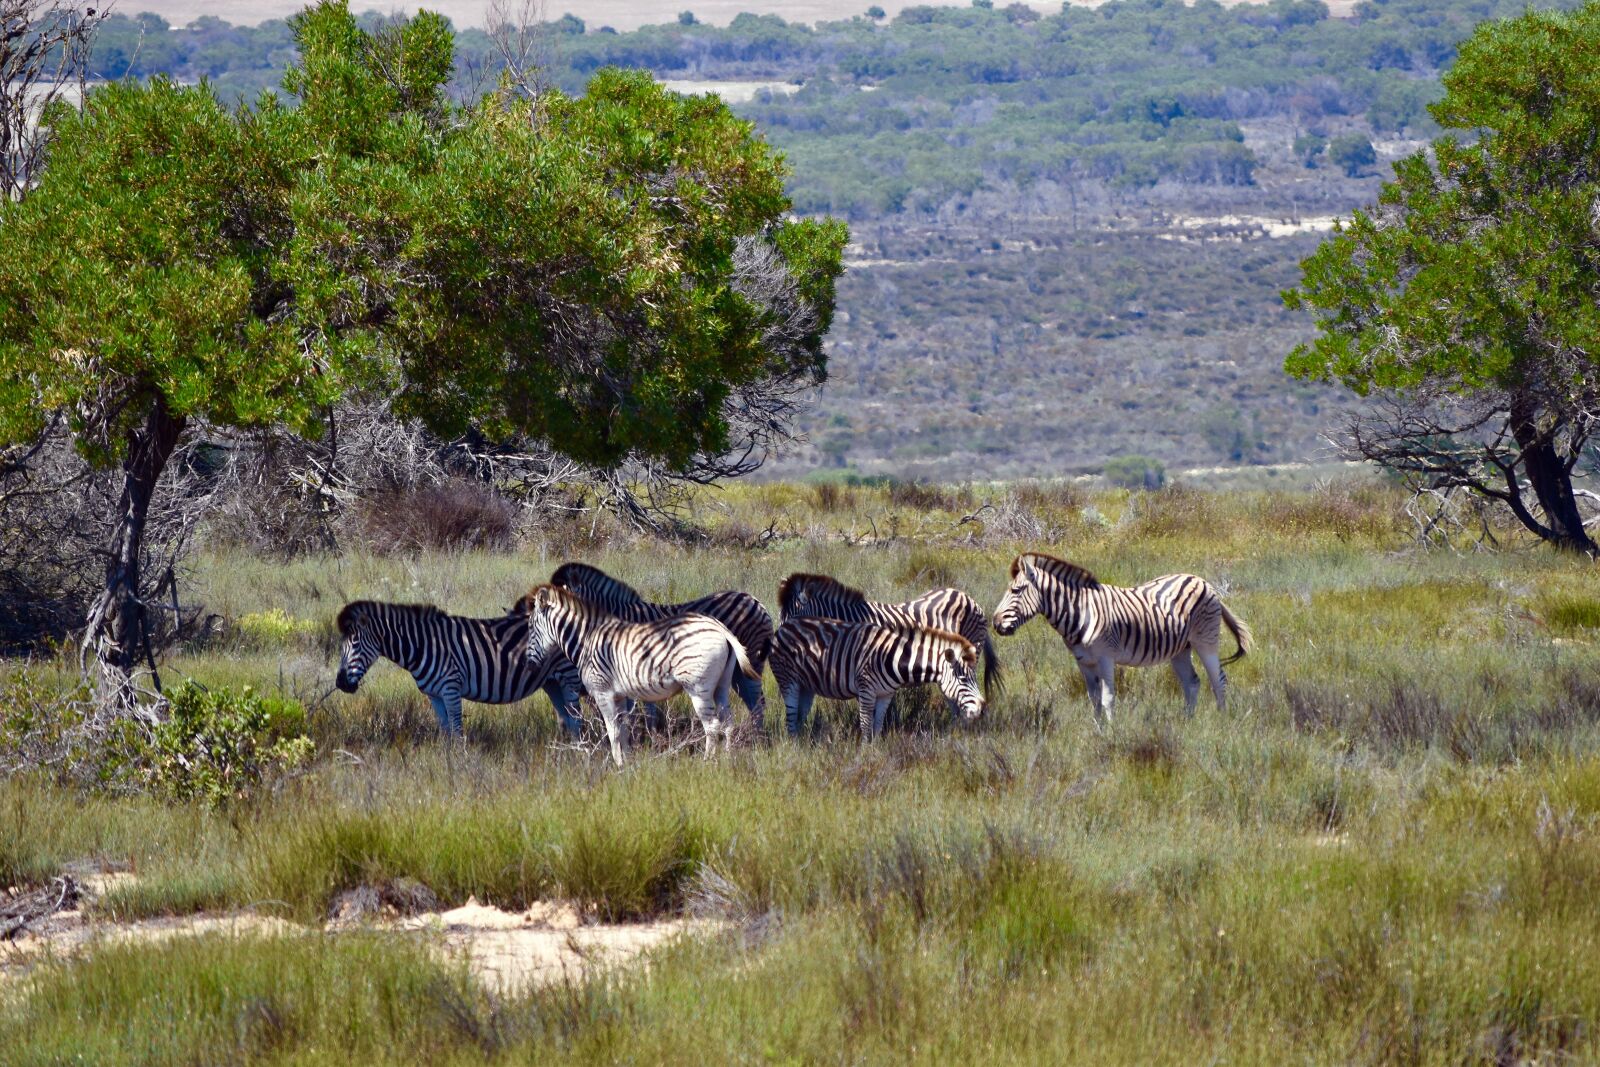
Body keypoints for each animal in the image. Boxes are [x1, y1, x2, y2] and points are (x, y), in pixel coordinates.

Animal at [334, 600, 584, 737]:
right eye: (340, 645)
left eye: (355, 644)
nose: (340, 683)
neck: (423, 644)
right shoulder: (434, 695)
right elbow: (445, 732)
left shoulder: (450, 688)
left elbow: (456, 731)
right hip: (551, 682)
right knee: (566, 719)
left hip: (568, 677)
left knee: (577, 719)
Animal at [519, 584, 758, 766]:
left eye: (530, 627)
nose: (529, 666)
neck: (586, 640)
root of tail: (719, 627)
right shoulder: (619, 695)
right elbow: (623, 730)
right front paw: (627, 762)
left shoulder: (602, 692)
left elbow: (613, 731)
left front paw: (617, 766)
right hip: (722, 684)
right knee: (728, 721)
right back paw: (727, 758)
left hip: (699, 688)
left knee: (712, 725)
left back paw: (707, 762)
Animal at [550, 562, 773, 733]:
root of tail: (754, 600)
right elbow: (646, 708)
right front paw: (651, 735)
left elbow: (635, 711)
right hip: (736, 669)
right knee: (754, 702)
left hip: (750, 661)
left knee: (758, 701)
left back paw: (757, 738)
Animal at [769, 617, 985, 740]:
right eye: (963, 679)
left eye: (974, 678)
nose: (981, 710)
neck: (895, 656)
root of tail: (784, 626)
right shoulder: (866, 690)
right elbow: (866, 725)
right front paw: (865, 756)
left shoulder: (885, 694)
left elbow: (878, 725)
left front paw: (875, 752)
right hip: (789, 680)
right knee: (790, 717)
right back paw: (794, 748)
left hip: (806, 685)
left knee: (799, 716)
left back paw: (802, 744)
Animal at [991, 553, 1251, 724]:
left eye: (1015, 591)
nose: (995, 623)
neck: (1080, 611)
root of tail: (1202, 581)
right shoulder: (1083, 661)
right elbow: (1094, 699)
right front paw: (1098, 730)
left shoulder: (1106, 657)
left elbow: (1108, 698)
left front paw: (1112, 734)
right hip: (1180, 648)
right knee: (1192, 683)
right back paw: (1188, 722)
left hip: (1206, 640)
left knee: (1218, 680)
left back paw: (1221, 720)